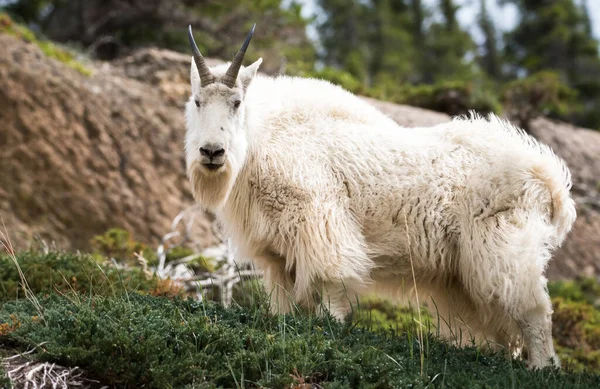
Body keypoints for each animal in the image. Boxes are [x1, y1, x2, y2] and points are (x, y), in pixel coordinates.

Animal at [184, 25, 576, 366]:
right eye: (197, 101)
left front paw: (330, 334)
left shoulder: (321, 226)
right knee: (502, 326)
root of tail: (550, 180)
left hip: (504, 250)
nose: (212, 152)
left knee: (534, 311)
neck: (264, 138)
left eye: (236, 102)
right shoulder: (277, 253)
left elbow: (330, 290)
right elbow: (283, 306)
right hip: (467, 275)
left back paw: (542, 368)